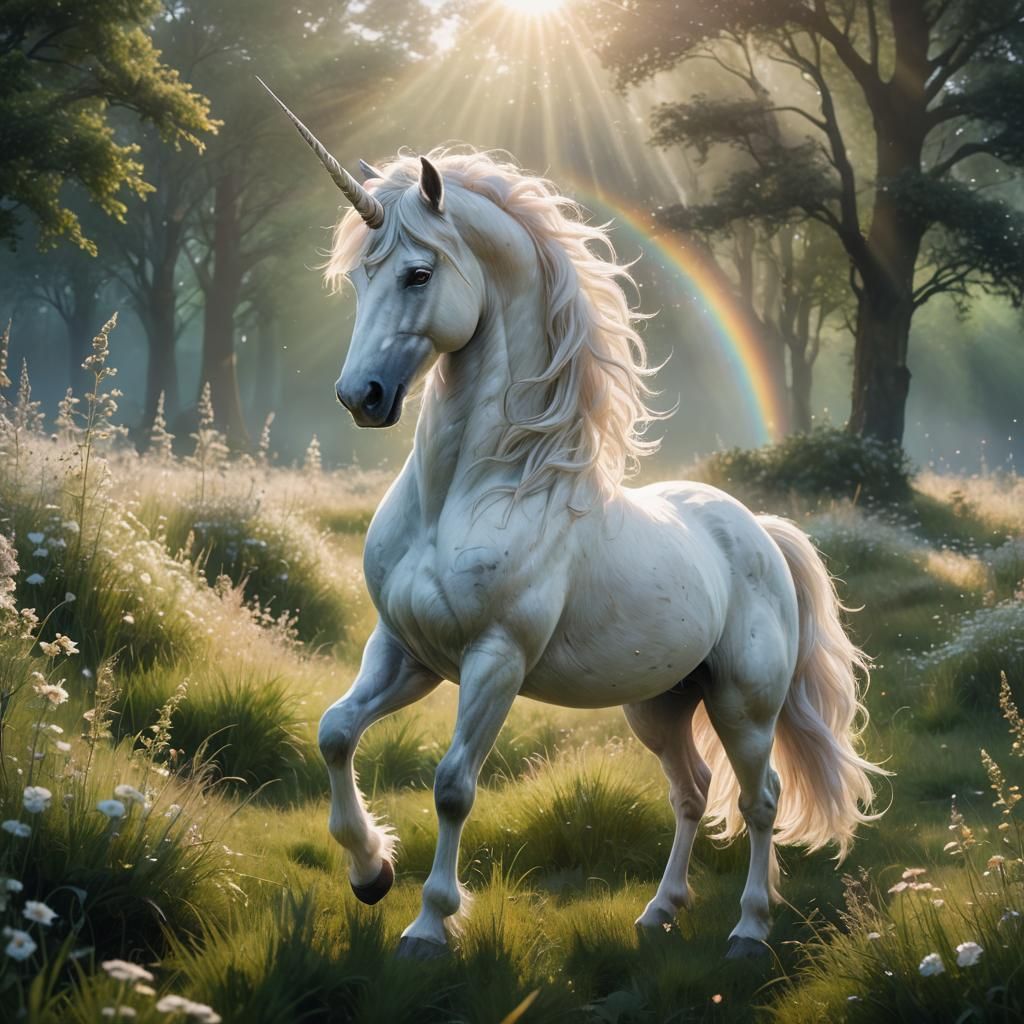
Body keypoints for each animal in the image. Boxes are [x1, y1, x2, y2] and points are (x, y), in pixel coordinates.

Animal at [260, 80, 885, 961]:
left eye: (418, 273)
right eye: (357, 280)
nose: (362, 397)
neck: (474, 492)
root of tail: (760, 531)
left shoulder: (495, 659)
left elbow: (453, 785)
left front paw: (428, 923)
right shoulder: (406, 651)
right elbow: (334, 733)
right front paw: (370, 871)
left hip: (744, 703)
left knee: (758, 798)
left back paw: (749, 931)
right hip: (660, 703)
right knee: (691, 790)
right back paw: (659, 913)